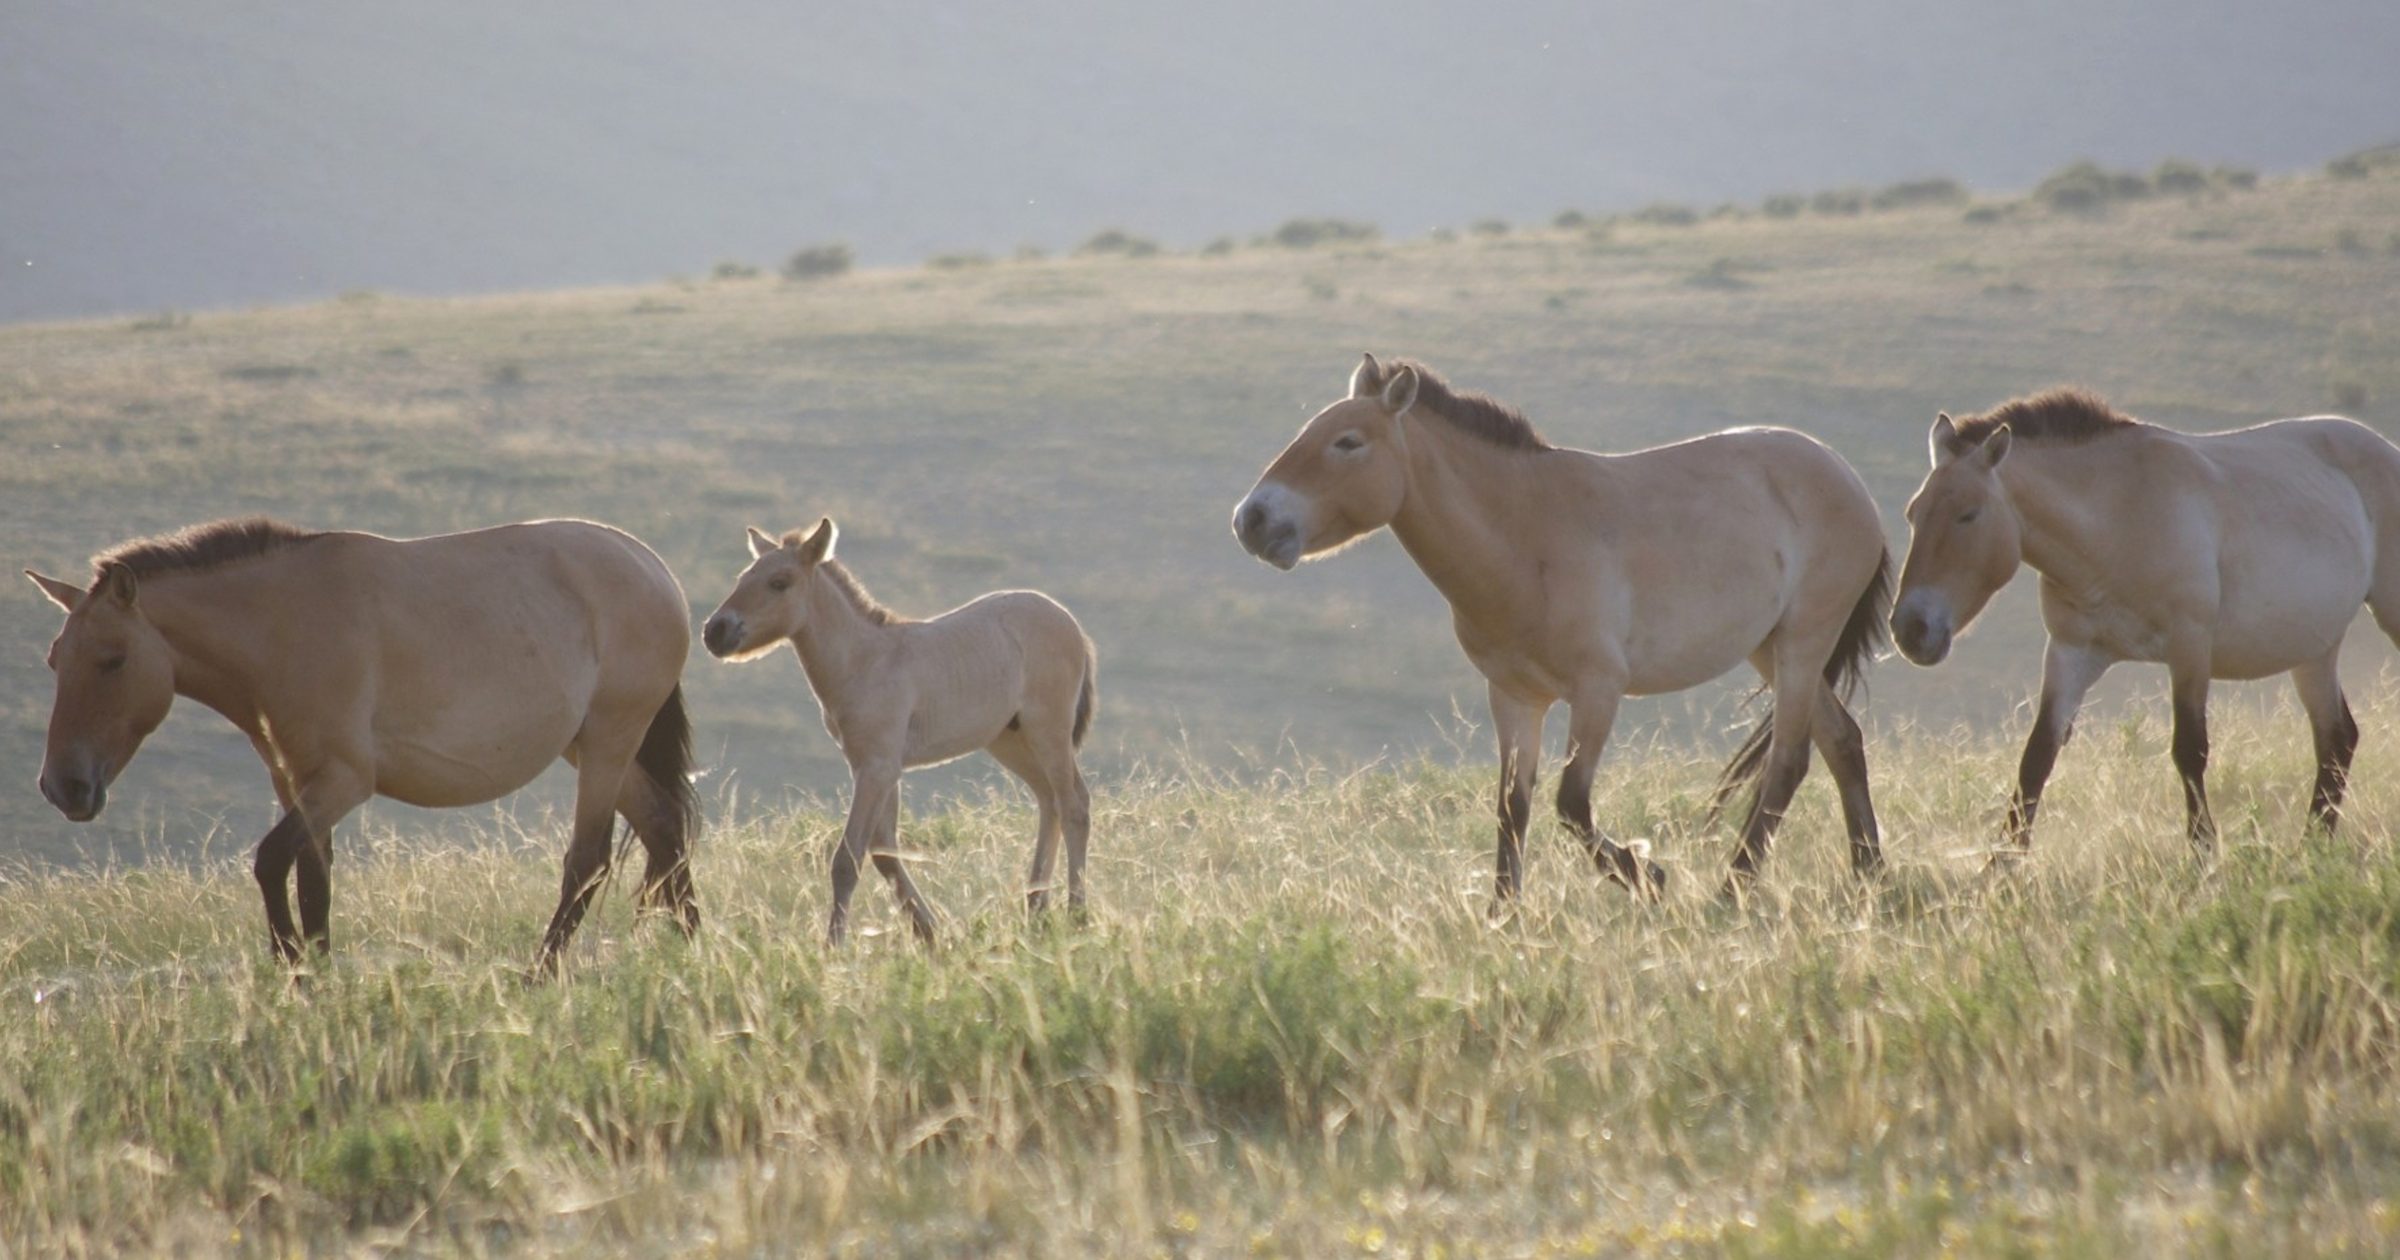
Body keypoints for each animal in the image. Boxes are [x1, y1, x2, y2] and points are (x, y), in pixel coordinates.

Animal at [30, 516, 700, 969]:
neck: (282, 624)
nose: (64, 787)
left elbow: (271, 861)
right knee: (664, 828)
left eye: (112, 660)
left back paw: (538, 977)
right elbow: (313, 880)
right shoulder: (297, 783)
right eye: (56, 660)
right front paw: (315, 977)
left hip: (611, 738)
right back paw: (695, 951)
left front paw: (295, 969)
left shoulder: (344, 781)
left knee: (588, 860)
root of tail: (655, 569)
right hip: (593, 746)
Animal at [700, 516, 1099, 936]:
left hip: (1048, 730)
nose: (715, 631)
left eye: (779, 581)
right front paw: (931, 932)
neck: (865, 661)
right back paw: (1036, 909)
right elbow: (884, 854)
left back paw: (1076, 913)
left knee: (1074, 804)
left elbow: (848, 859)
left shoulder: (877, 768)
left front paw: (834, 942)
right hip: (1010, 740)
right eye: (743, 576)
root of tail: (1070, 622)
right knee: (1049, 800)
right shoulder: (875, 767)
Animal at [1238, 352, 1891, 897]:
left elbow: (1570, 802)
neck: (1528, 536)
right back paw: (1869, 871)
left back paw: (1735, 886)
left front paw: (1646, 875)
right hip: (1770, 647)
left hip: (1805, 639)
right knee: (1841, 741)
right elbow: (1513, 808)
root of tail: (1847, 476)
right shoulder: (1514, 698)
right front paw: (1504, 915)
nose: (1252, 519)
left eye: (1347, 442)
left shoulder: (1597, 691)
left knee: (1790, 760)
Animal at [1881, 386, 2400, 854]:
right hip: (2315, 649)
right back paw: (2311, 848)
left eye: (1968, 515)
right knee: (2337, 738)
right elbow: (2037, 757)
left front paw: (2204, 858)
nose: (1911, 629)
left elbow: (2189, 751)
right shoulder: (2071, 654)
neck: (2116, 519)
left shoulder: (2189, 648)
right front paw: (2000, 870)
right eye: (1913, 513)